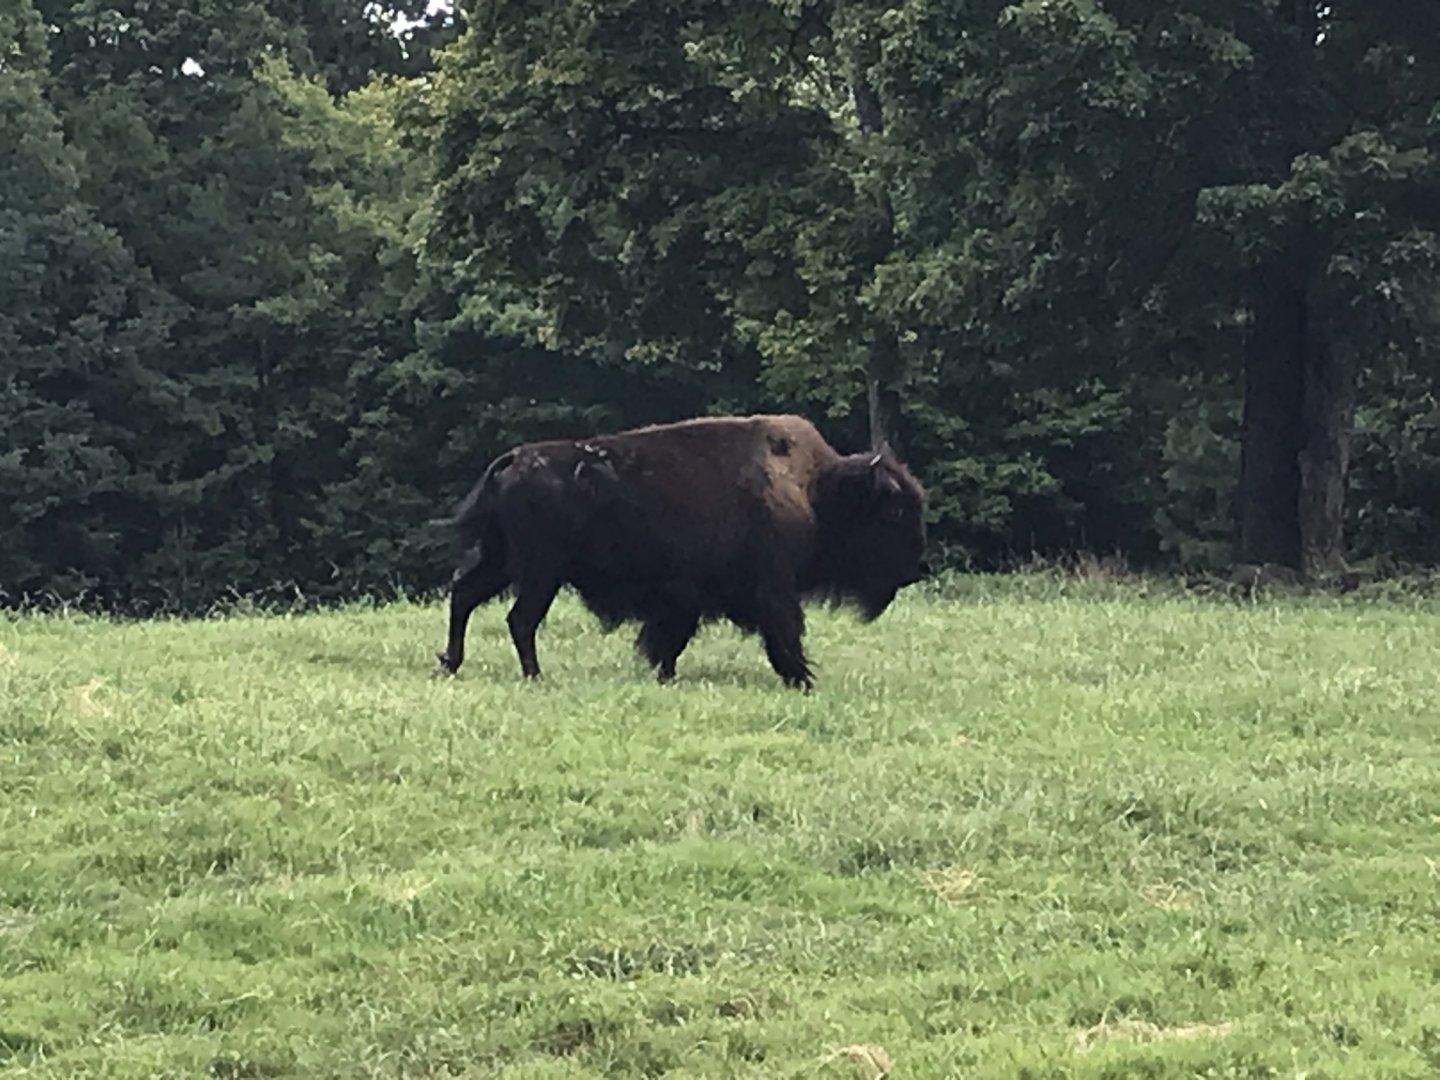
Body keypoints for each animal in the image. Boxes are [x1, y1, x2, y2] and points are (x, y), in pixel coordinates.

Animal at [434, 413, 927, 689]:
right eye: (894, 511)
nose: (916, 569)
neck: (814, 488)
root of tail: (514, 459)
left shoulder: (684, 598)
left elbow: (671, 638)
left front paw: (664, 674)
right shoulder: (771, 589)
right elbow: (783, 633)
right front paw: (803, 679)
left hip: (502, 560)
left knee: (464, 594)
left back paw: (451, 665)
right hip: (540, 571)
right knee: (519, 618)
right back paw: (534, 676)